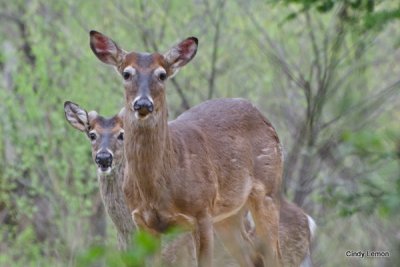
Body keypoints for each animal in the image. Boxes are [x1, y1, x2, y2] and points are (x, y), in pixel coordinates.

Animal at [90, 30, 284, 266]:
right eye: (126, 74)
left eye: (162, 75)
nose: (143, 103)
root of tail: (266, 120)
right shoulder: (143, 223)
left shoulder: (201, 213)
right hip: (228, 214)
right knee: (253, 257)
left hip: (268, 190)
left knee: (274, 256)